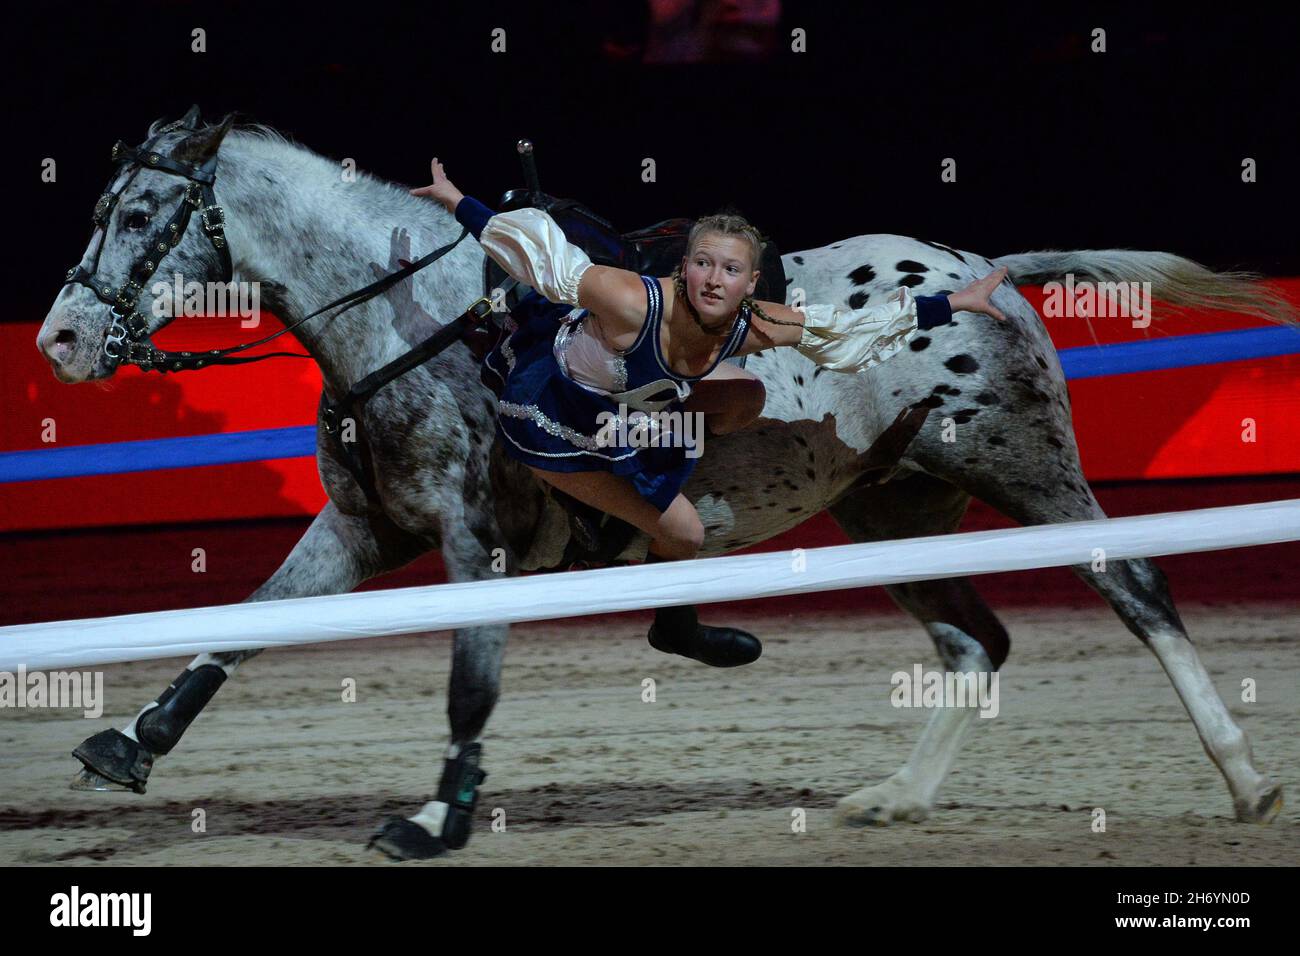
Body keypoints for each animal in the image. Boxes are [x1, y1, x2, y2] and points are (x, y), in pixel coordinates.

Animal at [38, 111, 1289, 858]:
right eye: (99, 210)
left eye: (141, 214)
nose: (58, 340)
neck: (422, 318)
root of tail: (977, 275)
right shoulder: (361, 529)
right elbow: (245, 621)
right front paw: (134, 739)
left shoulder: (472, 540)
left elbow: (468, 687)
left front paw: (436, 813)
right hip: (890, 506)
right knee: (974, 642)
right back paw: (895, 792)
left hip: (1028, 474)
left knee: (1138, 594)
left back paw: (1244, 777)